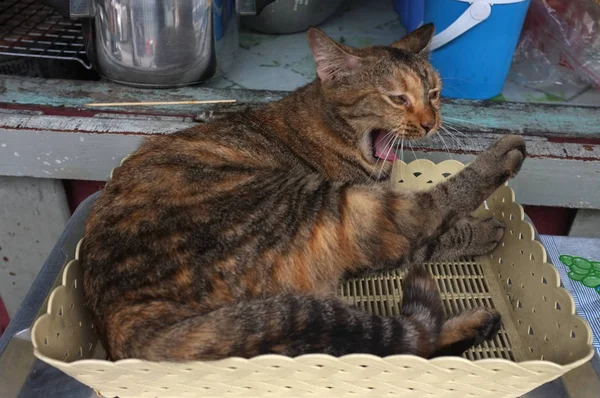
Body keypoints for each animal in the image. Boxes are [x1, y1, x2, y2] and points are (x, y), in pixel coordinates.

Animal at [81, 24, 524, 360]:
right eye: (398, 98)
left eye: (434, 92)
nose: (432, 122)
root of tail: (122, 314)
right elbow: (432, 235)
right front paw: (480, 230)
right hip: (322, 203)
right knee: (424, 218)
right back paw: (502, 157)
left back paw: (479, 324)